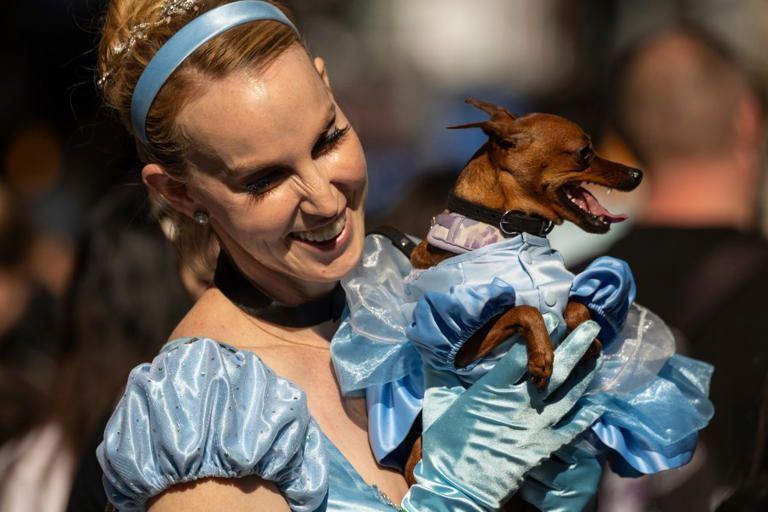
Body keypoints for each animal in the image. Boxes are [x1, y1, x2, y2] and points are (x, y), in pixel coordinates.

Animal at [402, 99, 640, 488]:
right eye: (585, 152)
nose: (637, 174)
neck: (511, 231)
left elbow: (576, 307)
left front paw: (585, 338)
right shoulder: (462, 349)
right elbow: (522, 311)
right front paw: (542, 356)